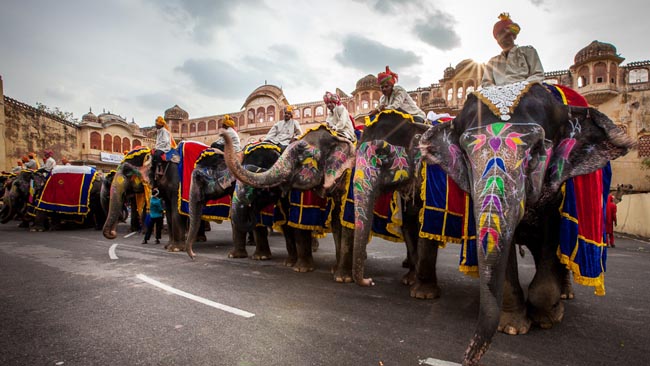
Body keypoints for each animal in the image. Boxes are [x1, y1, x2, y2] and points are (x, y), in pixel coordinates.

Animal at [416, 82, 632, 366]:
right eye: (465, 155)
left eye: (538, 149)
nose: (466, 358)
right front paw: (512, 326)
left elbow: (551, 242)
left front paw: (550, 317)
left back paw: (565, 295)